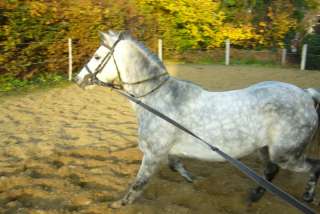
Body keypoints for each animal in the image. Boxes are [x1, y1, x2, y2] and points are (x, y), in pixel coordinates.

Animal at [75, 30, 320, 208]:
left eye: (97, 57)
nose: (78, 79)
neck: (158, 99)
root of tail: (306, 95)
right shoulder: (166, 151)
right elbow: (175, 165)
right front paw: (192, 180)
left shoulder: (153, 153)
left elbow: (139, 183)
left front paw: (119, 204)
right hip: (266, 149)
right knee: (270, 171)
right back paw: (254, 196)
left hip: (286, 154)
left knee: (312, 166)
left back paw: (307, 197)